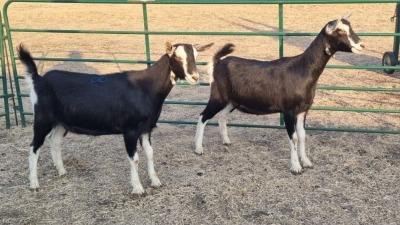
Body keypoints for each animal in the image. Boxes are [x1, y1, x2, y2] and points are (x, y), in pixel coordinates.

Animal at [18, 41, 214, 193]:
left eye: (196, 55)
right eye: (177, 57)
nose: (195, 77)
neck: (146, 87)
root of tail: (38, 79)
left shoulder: (147, 128)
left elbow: (150, 154)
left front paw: (155, 181)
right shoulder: (130, 130)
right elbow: (135, 158)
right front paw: (138, 188)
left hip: (61, 122)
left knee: (55, 142)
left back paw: (61, 171)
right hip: (43, 118)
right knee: (34, 147)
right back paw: (34, 184)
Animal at [195, 16, 364, 174]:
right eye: (340, 31)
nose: (361, 45)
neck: (302, 69)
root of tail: (218, 62)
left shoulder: (303, 110)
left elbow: (302, 135)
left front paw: (306, 162)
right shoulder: (289, 110)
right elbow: (294, 138)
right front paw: (296, 167)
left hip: (231, 101)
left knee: (221, 117)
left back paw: (226, 141)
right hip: (218, 97)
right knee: (203, 116)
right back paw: (198, 148)